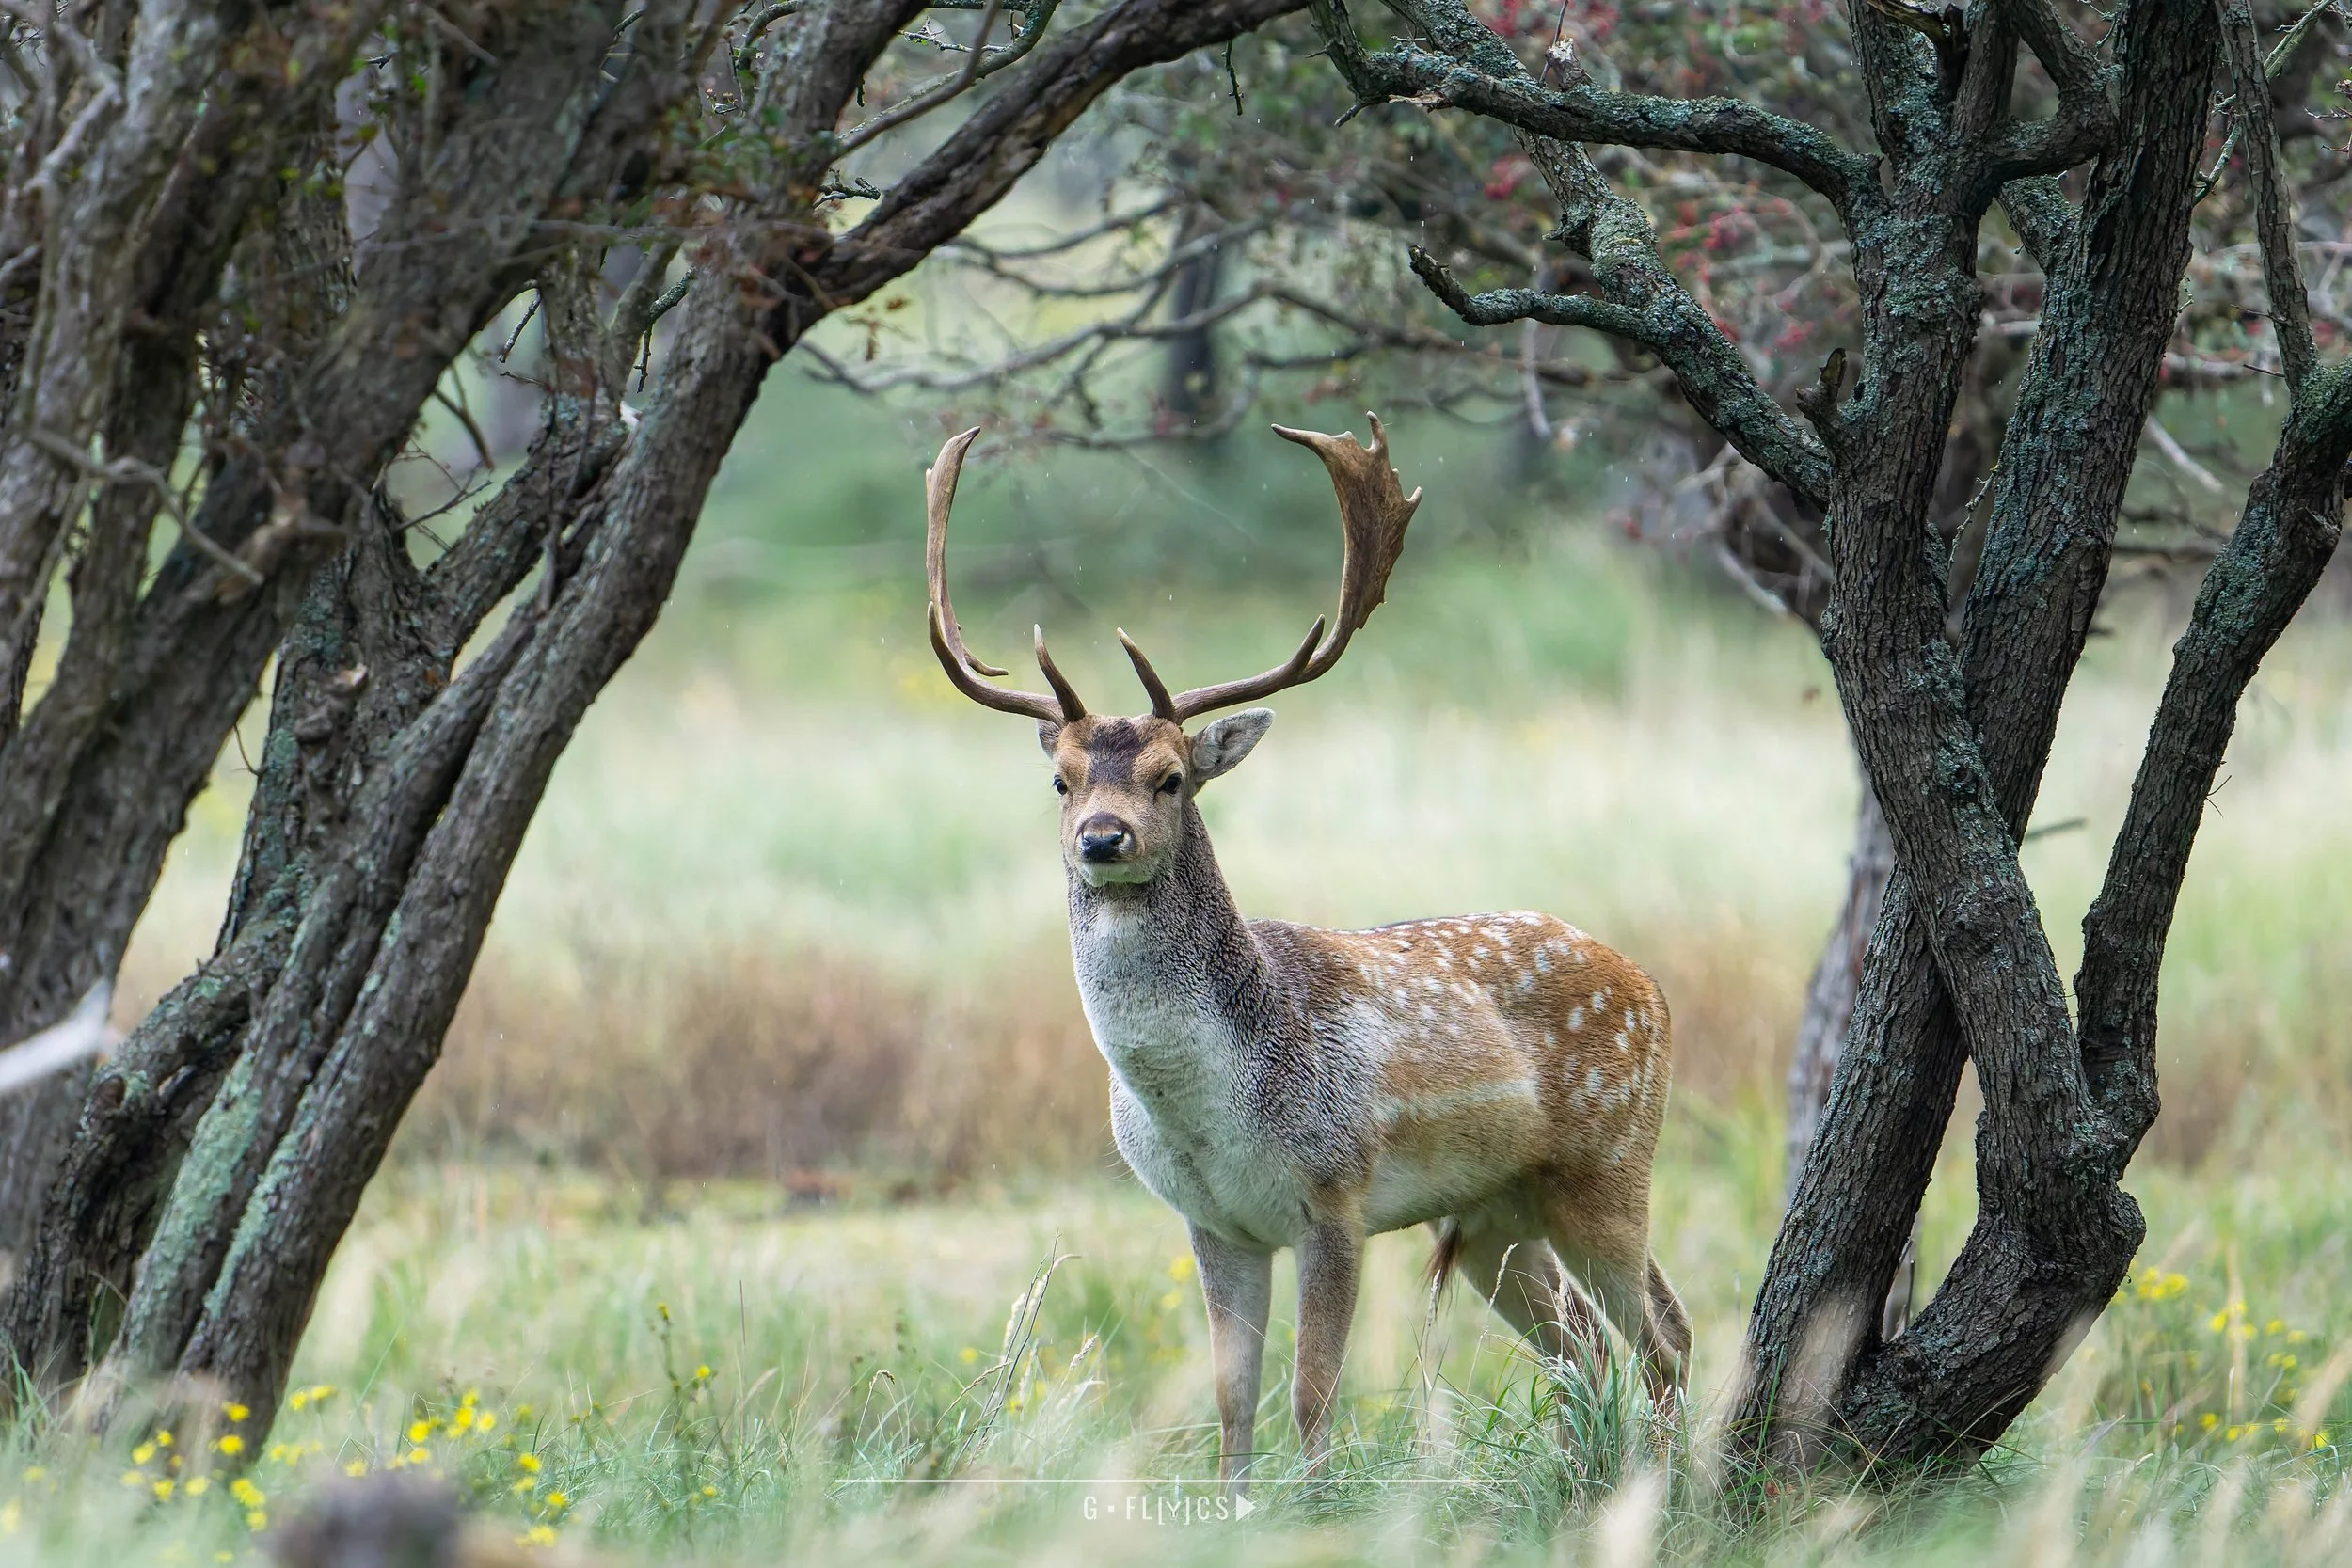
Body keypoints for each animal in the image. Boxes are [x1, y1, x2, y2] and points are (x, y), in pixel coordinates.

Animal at [922, 415, 1691, 1482]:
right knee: (1583, 1341)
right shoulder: (1211, 1221)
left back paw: (1672, 1485)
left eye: (1171, 776)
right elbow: (1231, 1399)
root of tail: (1651, 986)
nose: (1101, 838)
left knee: (1663, 1332)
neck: (1212, 1101)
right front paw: (1240, 1501)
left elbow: (1312, 1394)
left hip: (1609, 1158)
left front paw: (1321, 1502)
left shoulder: (1336, 1193)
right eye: (1062, 780)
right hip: (1497, 1209)